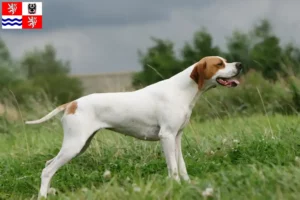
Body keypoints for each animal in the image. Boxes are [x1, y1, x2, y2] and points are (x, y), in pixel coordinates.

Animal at [24, 55, 243, 198]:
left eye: (226, 60)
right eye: (219, 63)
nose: (240, 64)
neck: (182, 90)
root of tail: (71, 103)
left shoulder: (177, 137)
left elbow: (181, 166)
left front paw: (188, 185)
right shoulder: (166, 136)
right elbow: (172, 168)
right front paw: (175, 187)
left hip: (80, 145)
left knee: (48, 165)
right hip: (74, 145)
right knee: (48, 170)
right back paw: (43, 196)